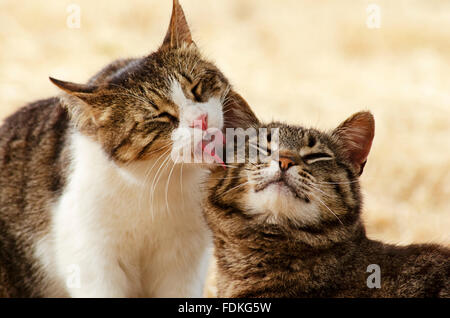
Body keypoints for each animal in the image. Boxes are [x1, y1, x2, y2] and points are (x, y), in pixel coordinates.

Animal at [0, 0, 256, 298]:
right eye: (161, 116)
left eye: (197, 88)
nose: (200, 120)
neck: (159, 185)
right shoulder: (92, 260)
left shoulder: (184, 261)